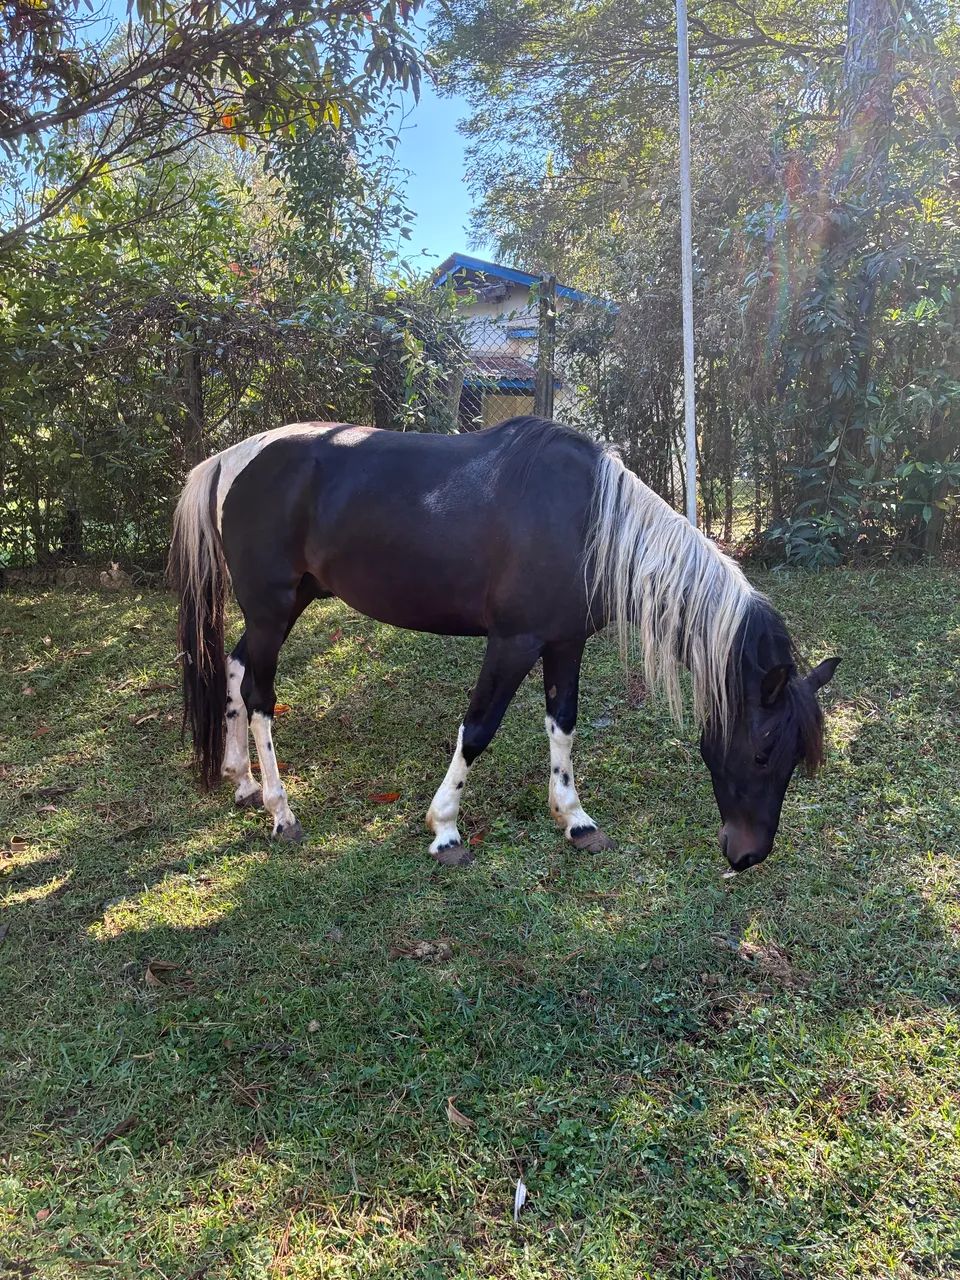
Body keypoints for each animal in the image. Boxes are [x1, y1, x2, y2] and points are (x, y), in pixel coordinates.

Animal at [168, 416, 838, 873]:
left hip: (286, 604)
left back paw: (242, 781)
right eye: (762, 752)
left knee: (235, 670)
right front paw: (445, 829)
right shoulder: (514, 642)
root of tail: (232, 458)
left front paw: (575, 820)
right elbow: (478, 729)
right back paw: (280, 811)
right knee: (259, 693)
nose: (749, 855)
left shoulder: (565, 643)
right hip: (272, 606)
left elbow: (563, 723)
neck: (588, 523)